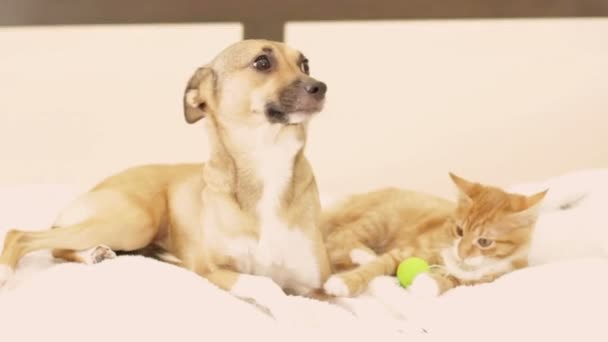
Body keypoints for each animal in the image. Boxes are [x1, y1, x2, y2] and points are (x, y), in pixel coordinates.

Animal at [0, 39, 332, 302]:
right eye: (262, 62)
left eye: (305, 64)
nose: (320, 87)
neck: (268, 161)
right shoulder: (211, 270)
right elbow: (268, 286)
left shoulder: (317, 287)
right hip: (135, 221)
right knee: (25, 236)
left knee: (58, 246)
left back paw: (93, 253)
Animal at [324, 174, 548, 296]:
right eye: (459, 231)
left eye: (484, 242)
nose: (461, 253)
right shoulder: (407, 251)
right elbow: (379, 265)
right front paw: (344, 283)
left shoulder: (487, 279)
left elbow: (454, 282)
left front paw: (427, 283)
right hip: (378, 222)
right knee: (337, 237)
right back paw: (363, 255)